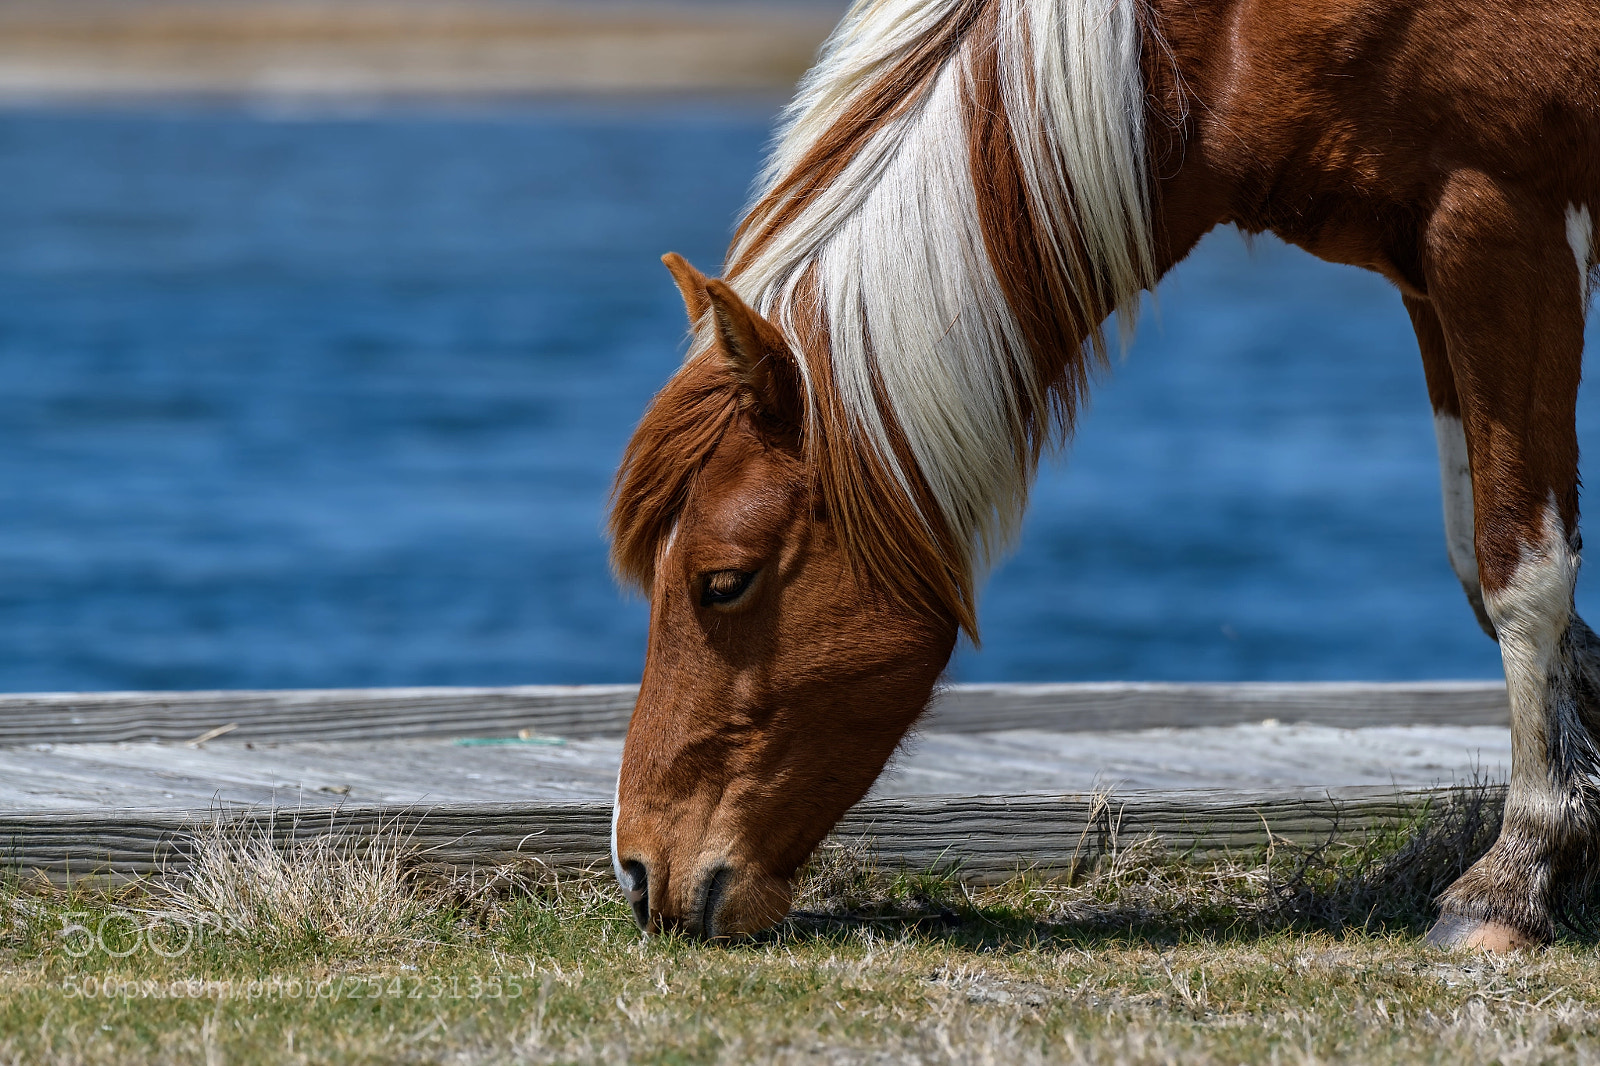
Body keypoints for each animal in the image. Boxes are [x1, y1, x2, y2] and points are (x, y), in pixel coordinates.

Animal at [606, 0, 1600, 949]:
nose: (640, 872)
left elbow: (1522, 570)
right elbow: (1478, 560)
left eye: (722, 582)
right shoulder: (1425, 264)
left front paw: (1515, 876)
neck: (1229, 32)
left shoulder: (1500, 221)